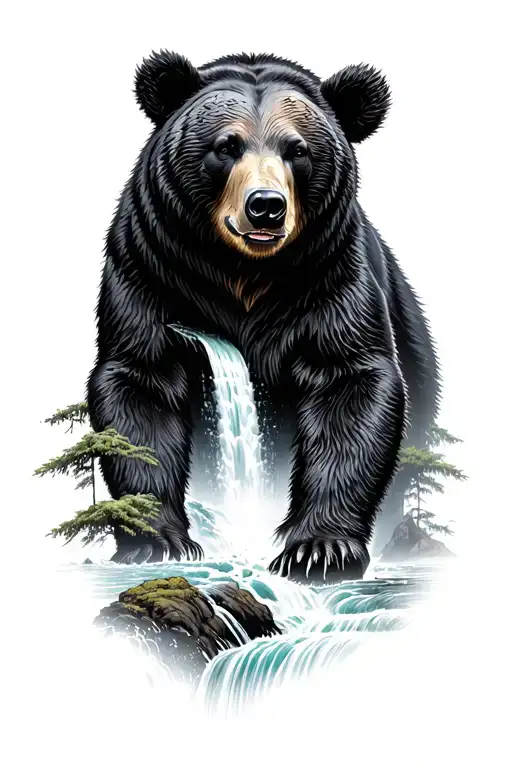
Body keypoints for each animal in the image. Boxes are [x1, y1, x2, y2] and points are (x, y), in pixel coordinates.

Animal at [87, 50, 440, 583]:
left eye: (298, 150)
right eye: (225, 146)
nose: (266, 207)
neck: (246, 274)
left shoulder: (331, 278)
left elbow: (349, 385)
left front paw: (318, 549)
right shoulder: (148, 272)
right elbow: (142, 387)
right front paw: (155, 542)